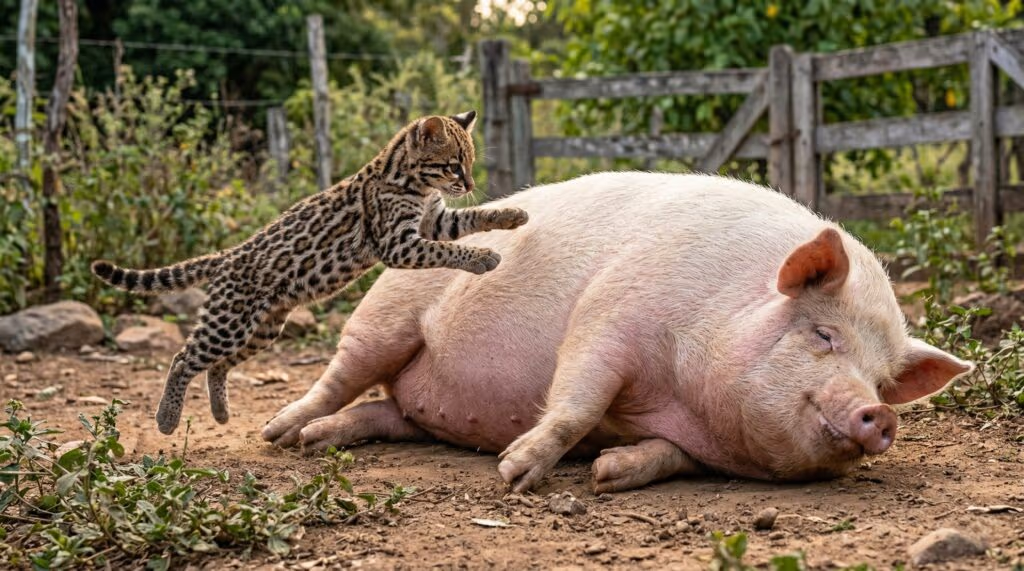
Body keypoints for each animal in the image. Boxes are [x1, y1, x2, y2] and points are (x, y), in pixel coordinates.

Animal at [261, 172, 972, 493]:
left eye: (882, 378)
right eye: (824, 336)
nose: (879, 412)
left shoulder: (692, 440)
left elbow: (665, 455)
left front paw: (607, 473)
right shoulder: (607, 316)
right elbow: (577, 400)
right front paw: (514, 474)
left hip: (414, 405)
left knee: (388, 410)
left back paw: (321, 441)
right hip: (385, 314)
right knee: (339, 378)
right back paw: (283, 436)